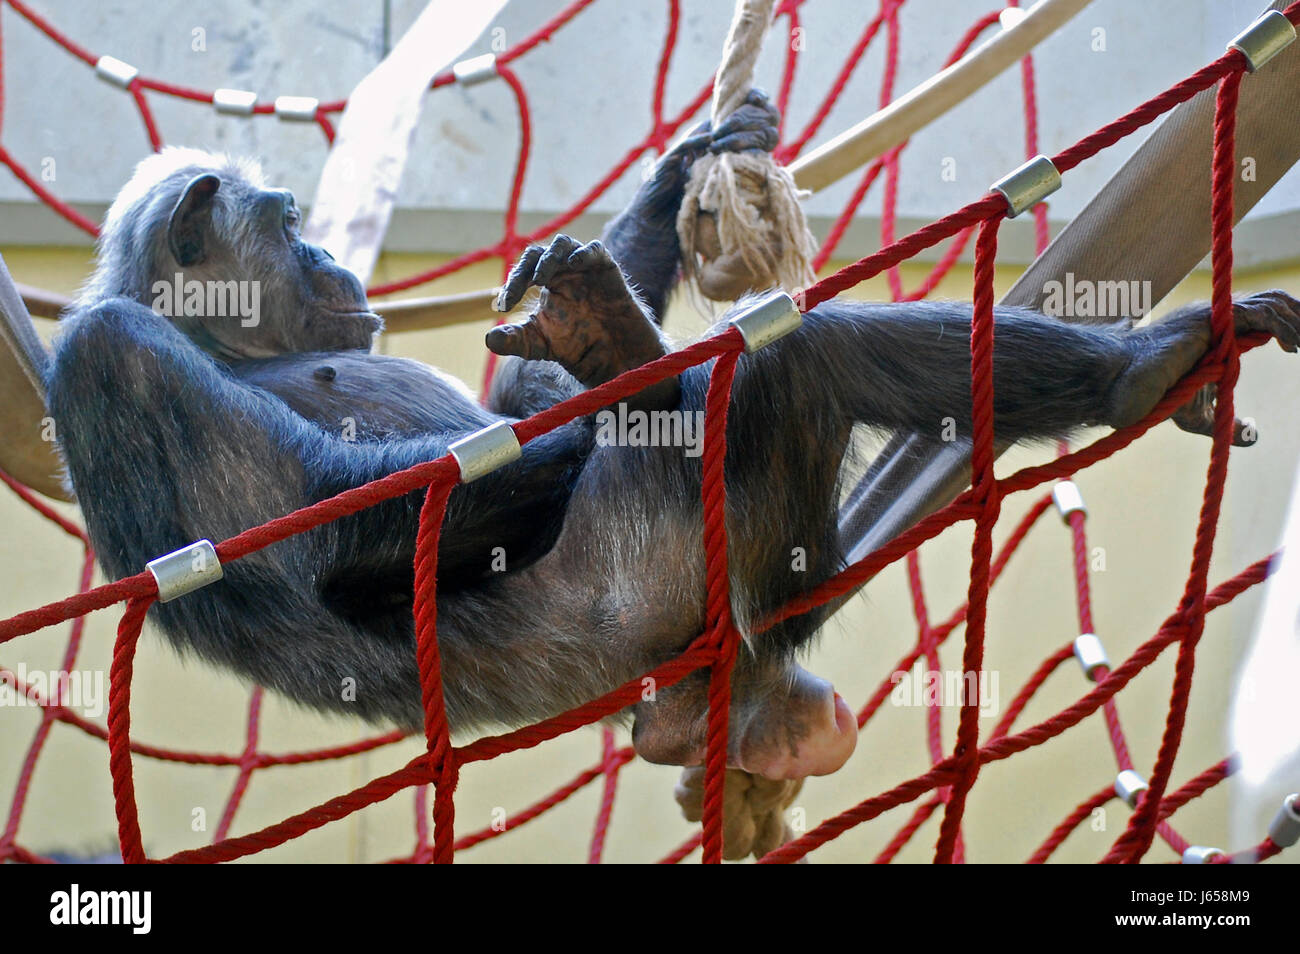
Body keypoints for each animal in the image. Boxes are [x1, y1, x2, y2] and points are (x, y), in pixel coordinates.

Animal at [45, 89, 1294, 779]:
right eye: (289, 223)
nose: (329, 258)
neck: (231, 339)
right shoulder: (111, 357)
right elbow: (345, 544)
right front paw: (630, 352)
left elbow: (505, 413)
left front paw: (683, 170)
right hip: (690, 561)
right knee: (801, 356)